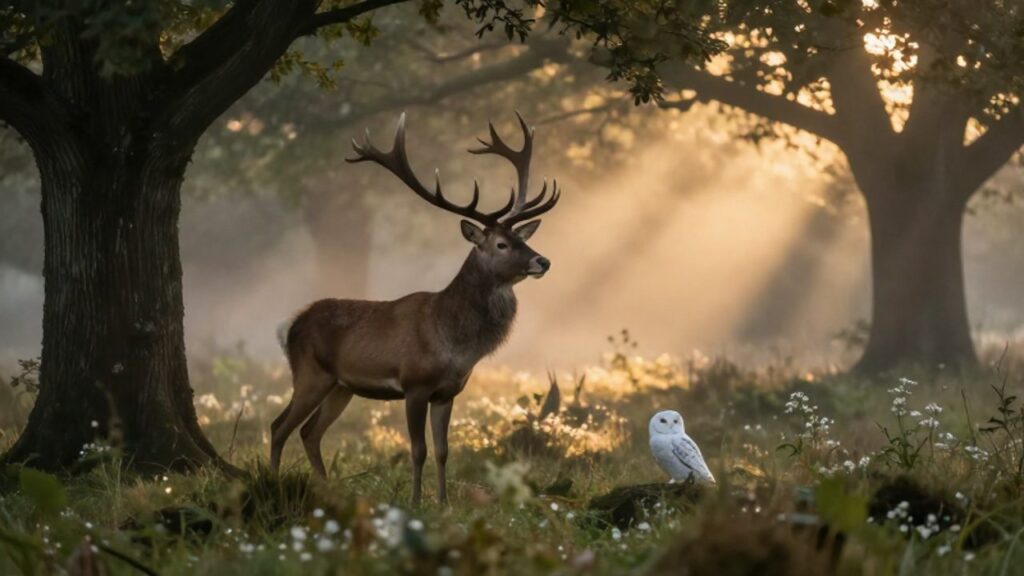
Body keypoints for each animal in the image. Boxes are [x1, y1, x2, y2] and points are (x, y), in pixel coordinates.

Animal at [270, 112, 560, 505]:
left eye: (522, 238)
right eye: (501, 244)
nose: (543, 261)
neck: (455, 343)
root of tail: (290, 325)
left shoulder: (448, 392)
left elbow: (443, 450)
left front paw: (444, 502)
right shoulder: (414, 384)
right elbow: (418, 449)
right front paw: (415, 502)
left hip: (341, 386)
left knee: (310, 433)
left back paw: (329, 491)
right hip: (310, 373)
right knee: (279, 426)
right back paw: (270, 482)